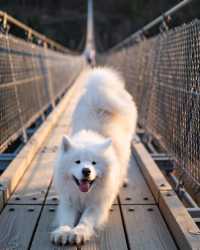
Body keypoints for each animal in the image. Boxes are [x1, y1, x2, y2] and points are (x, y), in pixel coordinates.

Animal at [51, 67, 138, 245]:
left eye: (94, 163)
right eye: (77, 162)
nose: (86, 171)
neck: (84, 194)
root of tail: (99, 91)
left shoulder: (97, 204)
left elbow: (86, 219)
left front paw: (79, 232)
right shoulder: (68, 201)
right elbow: (66, 219)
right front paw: (63, 232)